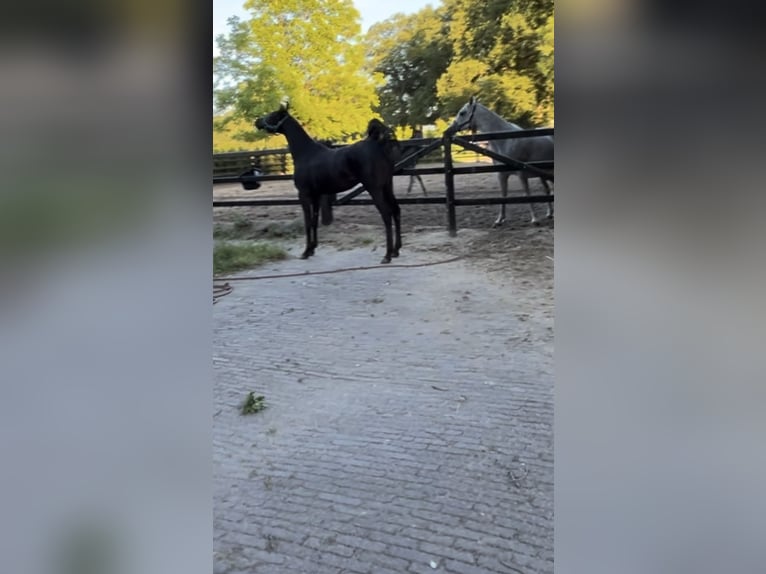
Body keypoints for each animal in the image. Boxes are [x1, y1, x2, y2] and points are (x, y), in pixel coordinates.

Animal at [256, 102, 402, 264]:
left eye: (273, 115)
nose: (257, 122)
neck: (306, 153)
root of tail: (378, 144)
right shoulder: (316, 196)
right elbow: (314, 221)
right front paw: (312, 249)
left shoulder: (304, 195)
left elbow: (307, 223)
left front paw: (305, 252)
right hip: (387, 187)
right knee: (396, 211)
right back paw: (396, 251)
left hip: (375, 189)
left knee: (386, 215)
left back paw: (387, 255)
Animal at [448, 98, 556, 226]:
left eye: (462, 113)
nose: (451, 128)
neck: (505, 140)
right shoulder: (501, 175)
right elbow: (503, 195)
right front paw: (499, 220)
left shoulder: (521, 174)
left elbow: (527, 194)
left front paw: (534, 219)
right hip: (543, 175)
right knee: (547, 190)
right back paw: (549, 213)